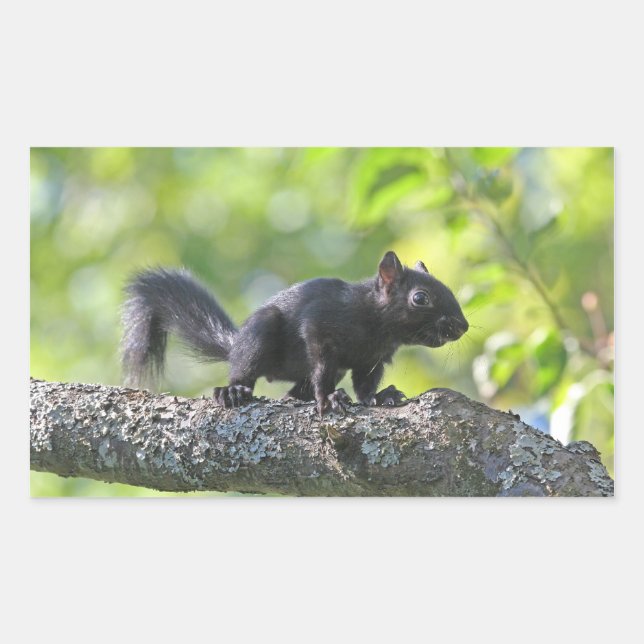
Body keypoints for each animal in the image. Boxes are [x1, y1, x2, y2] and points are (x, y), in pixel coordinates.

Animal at [121, 251, 468, 415]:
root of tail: (235, 343)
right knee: (244, 369)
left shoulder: (373, 359)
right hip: (260, 333)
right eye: (420, 298)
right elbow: (322, 366)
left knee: (293, 391)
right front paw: (328, 397)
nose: (462, 326)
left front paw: (381, 397)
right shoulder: (320, 326)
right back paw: (233, 391)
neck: (375, 324)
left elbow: (365, 385)